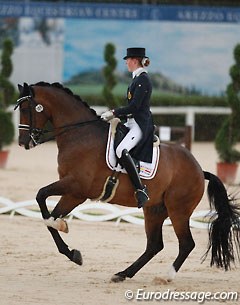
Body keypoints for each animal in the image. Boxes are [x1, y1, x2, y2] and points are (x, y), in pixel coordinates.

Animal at [14, 82, 240, 282]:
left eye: (26, 108)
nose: (23, 142)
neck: (79, 135)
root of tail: (200, 170)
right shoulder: (73, 193)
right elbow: (48, 217)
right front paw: (72, 251)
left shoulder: (77, 186)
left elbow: (41, 197)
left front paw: (61, 226)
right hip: (155, 210)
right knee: (154, 245)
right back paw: (123, 274)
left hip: (178, 210)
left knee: (185, 244)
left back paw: (165, 277)